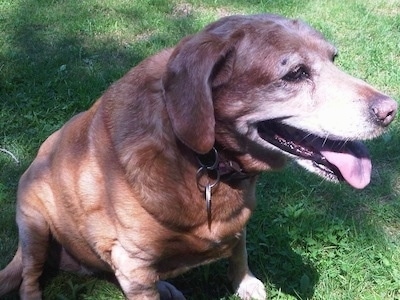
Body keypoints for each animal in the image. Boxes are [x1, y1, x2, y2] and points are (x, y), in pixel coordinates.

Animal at [0, 13, 396, 300]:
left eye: (334, 59)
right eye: (296, 73)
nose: (390, 110)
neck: (204, 160)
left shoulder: (237, 222)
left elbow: (239, 251)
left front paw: (244, 283)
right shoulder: (131, 263)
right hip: (34, 224)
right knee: (30, 280)